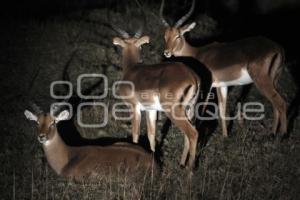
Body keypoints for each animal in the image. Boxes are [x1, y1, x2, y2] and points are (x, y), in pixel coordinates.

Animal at [112, 24, 202, 170]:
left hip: (173, 111)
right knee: (188, 134)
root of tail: (193, 77)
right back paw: (181, 164)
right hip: (189, 110)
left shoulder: (134, 108)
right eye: (140, 47)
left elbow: (135, 134)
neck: (131, 70)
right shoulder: (151, 110)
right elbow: (151, 134)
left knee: (193, 134)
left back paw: (189, 171)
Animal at [161, 0, 288, 137]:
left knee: (281, 103)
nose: (166, 53)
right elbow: (222, 110)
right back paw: (273, 133)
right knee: (276, 104)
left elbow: (201, 110)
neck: (197, 53)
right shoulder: (222, 86)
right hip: (274, 81)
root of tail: (278, 48)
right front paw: (225, 136)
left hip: (262, 81)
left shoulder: (207, 86)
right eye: (165, 36)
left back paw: (283, 135)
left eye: (178, 36)